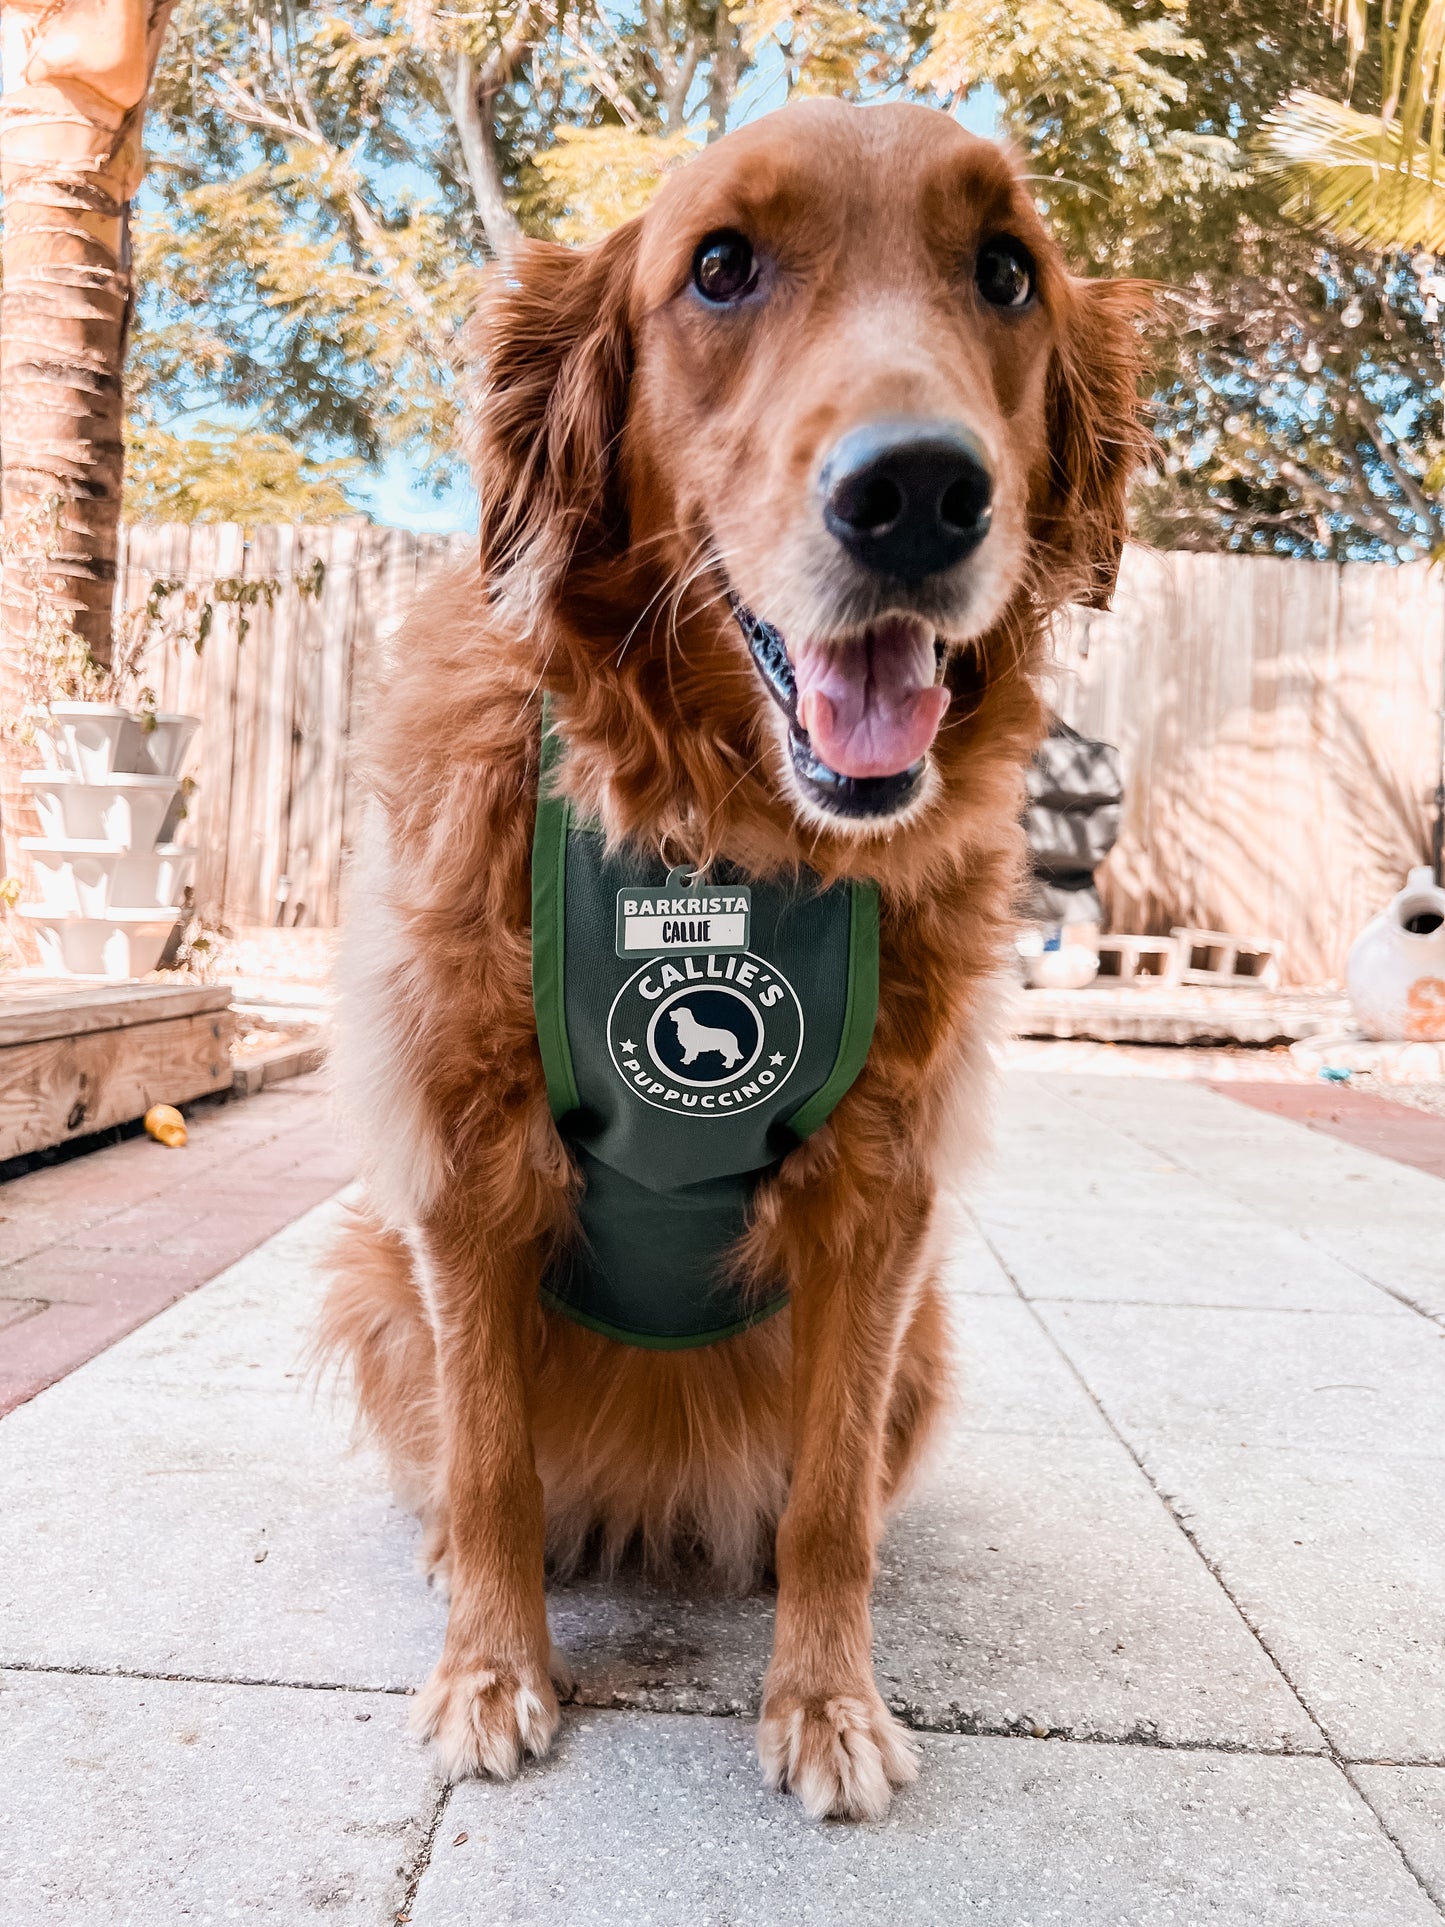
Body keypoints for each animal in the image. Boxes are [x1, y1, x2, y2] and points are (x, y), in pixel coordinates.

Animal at [327, 101, 1156, 1819]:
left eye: (1007, 272)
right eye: (719, 267)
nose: (920, 493)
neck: (721, 827)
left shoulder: (883, 1202)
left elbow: (830, 1498)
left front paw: (827, 1698)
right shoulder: (457, 1166)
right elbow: (490, 1458)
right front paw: (489, 1669)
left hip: (929, 1334)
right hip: (369, 1270)